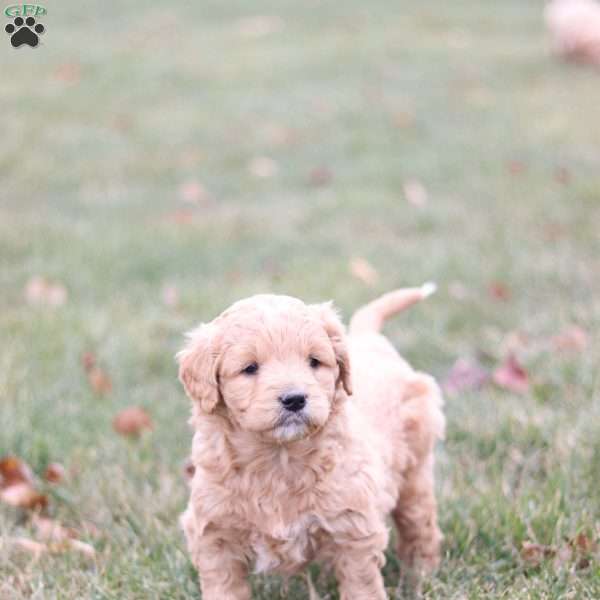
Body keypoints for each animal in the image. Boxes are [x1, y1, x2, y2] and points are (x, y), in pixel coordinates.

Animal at [176, 288, 442, 600]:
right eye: (249, 368)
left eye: (314, 361)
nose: (294, 399)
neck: (279, 458)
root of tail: (369, 339)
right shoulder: (214, 530)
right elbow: (224, 585)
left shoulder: (354, 525)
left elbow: (361, 583)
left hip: (415, 470)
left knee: (420, 525)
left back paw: (421, 576)